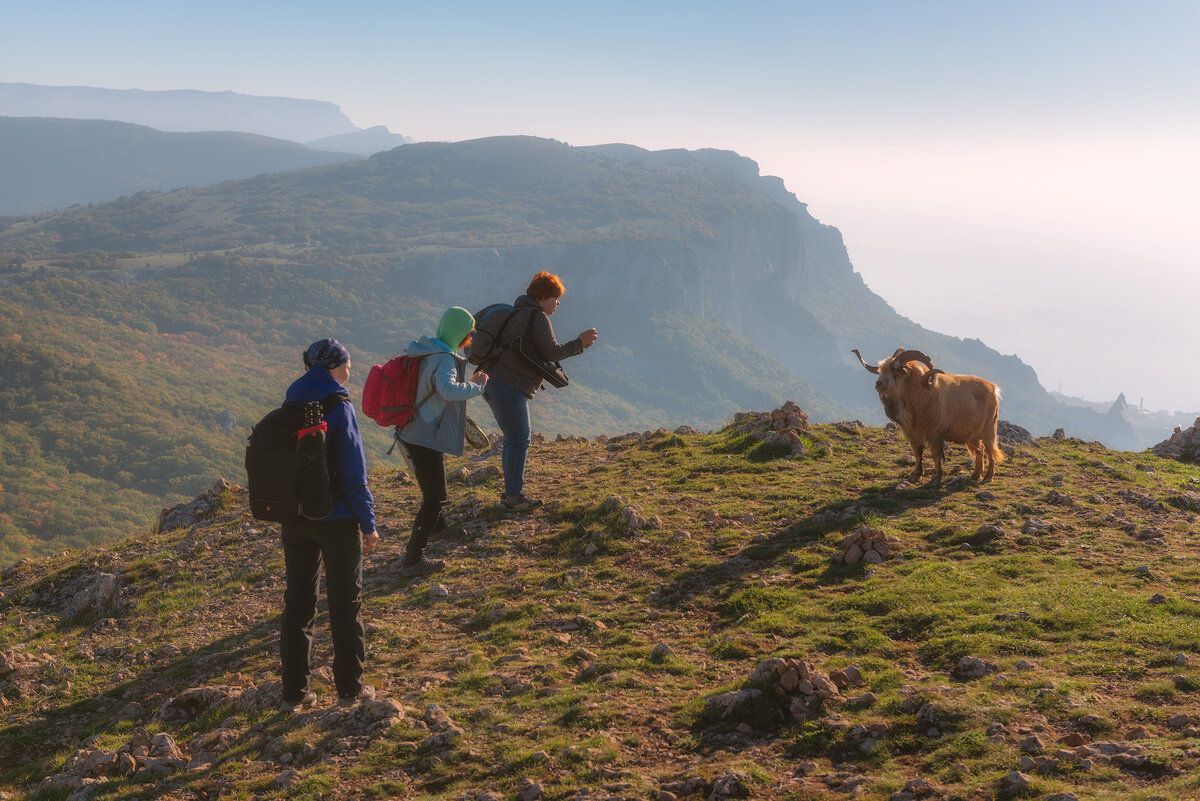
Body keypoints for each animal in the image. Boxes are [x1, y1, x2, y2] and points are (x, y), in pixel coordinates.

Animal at [849, 345, 1008, 482]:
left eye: (895, 370)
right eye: (881, 370)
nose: (878, 384)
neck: (920, 395)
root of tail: (994, 389)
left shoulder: (934, 434)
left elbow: (935, 455)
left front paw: (937, 477)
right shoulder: (913, 433)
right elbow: (917, 453)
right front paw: (916, 475)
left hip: (989, 429)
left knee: (991, 452)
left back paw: (988, 477)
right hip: (972, 436)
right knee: (980, 451)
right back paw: (976, 475)